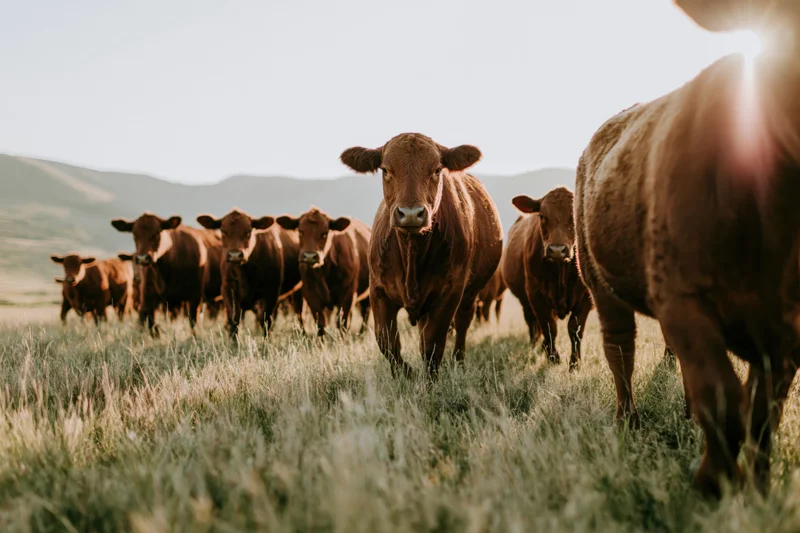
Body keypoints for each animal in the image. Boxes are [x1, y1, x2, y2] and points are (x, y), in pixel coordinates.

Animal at [196, 209, 288, 338]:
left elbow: (265, 321)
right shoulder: (227, 289)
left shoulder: (272, 292)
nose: (235, 255)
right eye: (223, 230)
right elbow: (234, 320)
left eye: (248, 231)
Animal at [276, 208, 371, 337]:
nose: (310, 256)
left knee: (365, 313)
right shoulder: (311, 294)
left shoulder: (348, 294)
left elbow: (342, 323)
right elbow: (320, 324)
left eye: (324, 233)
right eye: (300, 232)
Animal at [340, 133, 503, 378]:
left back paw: (459, 362)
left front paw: (428, 380)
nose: (410, 214)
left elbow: (432, 344)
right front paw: (404, 374)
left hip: (471, 293)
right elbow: (387, 341)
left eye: (436, 170)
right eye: (385, 169)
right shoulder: (378, 289)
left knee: (462, 323)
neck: (412, 251)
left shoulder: (450, 293)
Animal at [502, 188, 592, 371]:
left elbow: (575, 330)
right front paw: (553, 358)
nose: (557, 250)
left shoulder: (585, 298)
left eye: (574, 215)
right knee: (533, 324)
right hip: (525, 301)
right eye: (542, 215)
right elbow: (549, 328)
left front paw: (574, 364)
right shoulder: (536, 296)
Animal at [574, 0, 800, 497]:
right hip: (597, 278)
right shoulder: (682, 299)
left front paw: (758, 486)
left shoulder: (787, 330)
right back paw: (629, 421)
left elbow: (763, 415)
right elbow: (723, 400)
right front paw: (713, 479)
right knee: (620, 349)